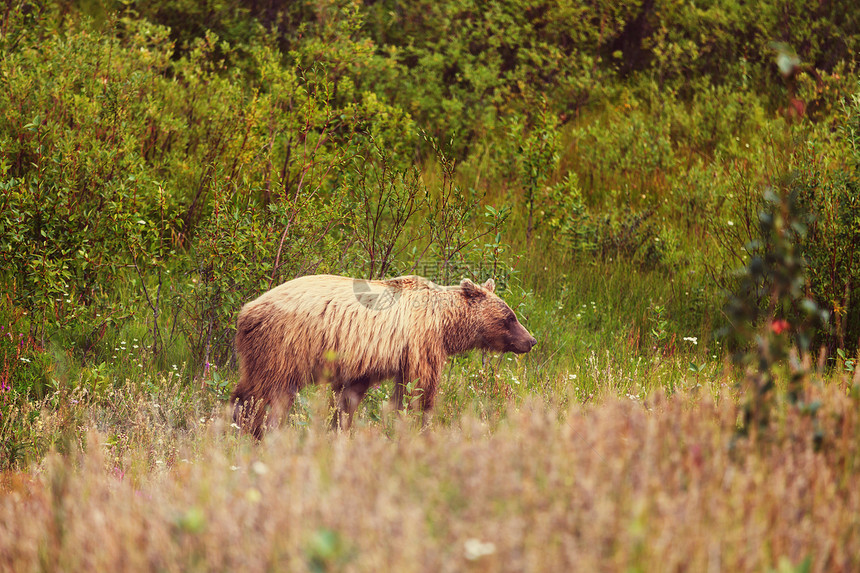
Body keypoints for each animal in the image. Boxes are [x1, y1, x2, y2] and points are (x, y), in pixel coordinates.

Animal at [232, 274, 536, 436]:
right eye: (510, 317)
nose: (531, 340)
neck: (445, 324)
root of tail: (246, 309)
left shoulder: (375, 358)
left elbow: (354, 395)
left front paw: (341, 427)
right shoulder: (421, 341)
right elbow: (421, 389)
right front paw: (422, 425)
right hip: (284, 345)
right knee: (267, 392)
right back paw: (255, 429)